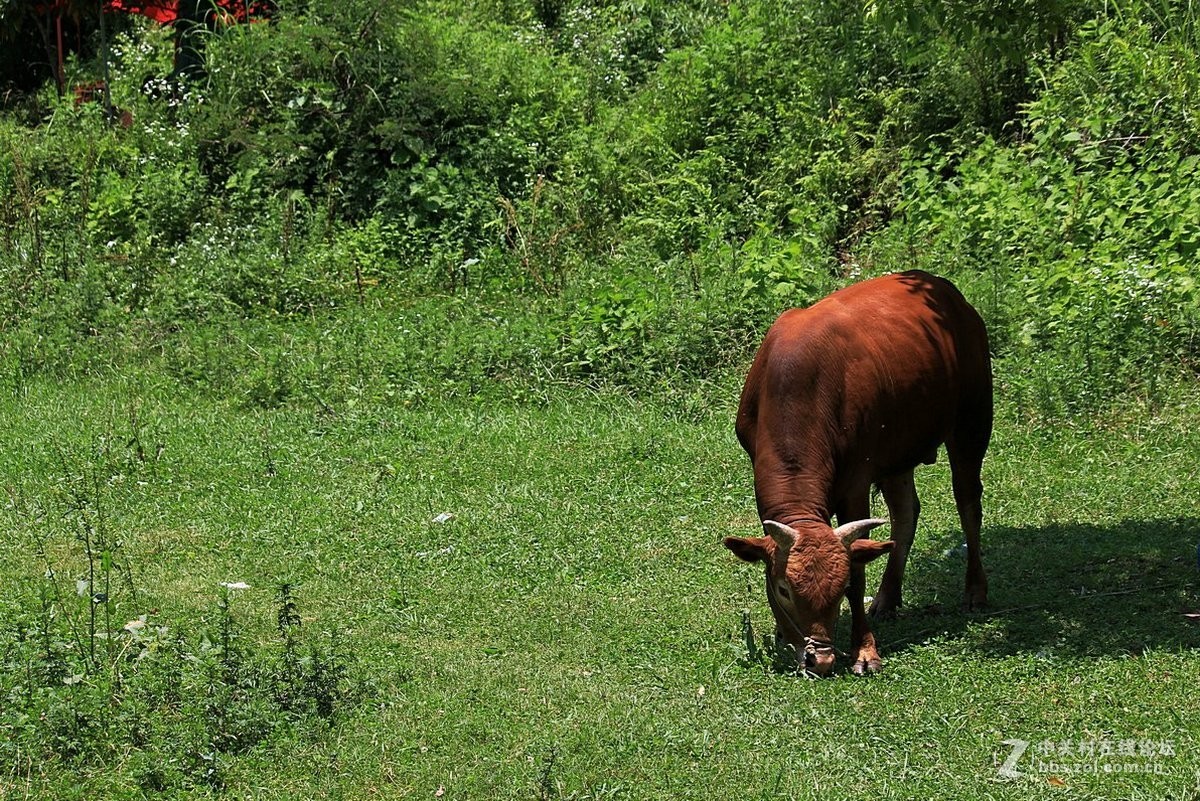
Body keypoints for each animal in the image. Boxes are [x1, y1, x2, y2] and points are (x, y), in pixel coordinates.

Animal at [720, 268, 993, 676]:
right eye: (784, 589)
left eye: (838, 587)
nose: (820, 658)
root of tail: (945, 290)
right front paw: (784, 635)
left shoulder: (856, 483)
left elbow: (859, 575)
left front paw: (865, 651)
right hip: (898, 453)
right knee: (905, 514)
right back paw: (888, 598)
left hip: (972, 424)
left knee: (968, 504)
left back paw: (975, 590)